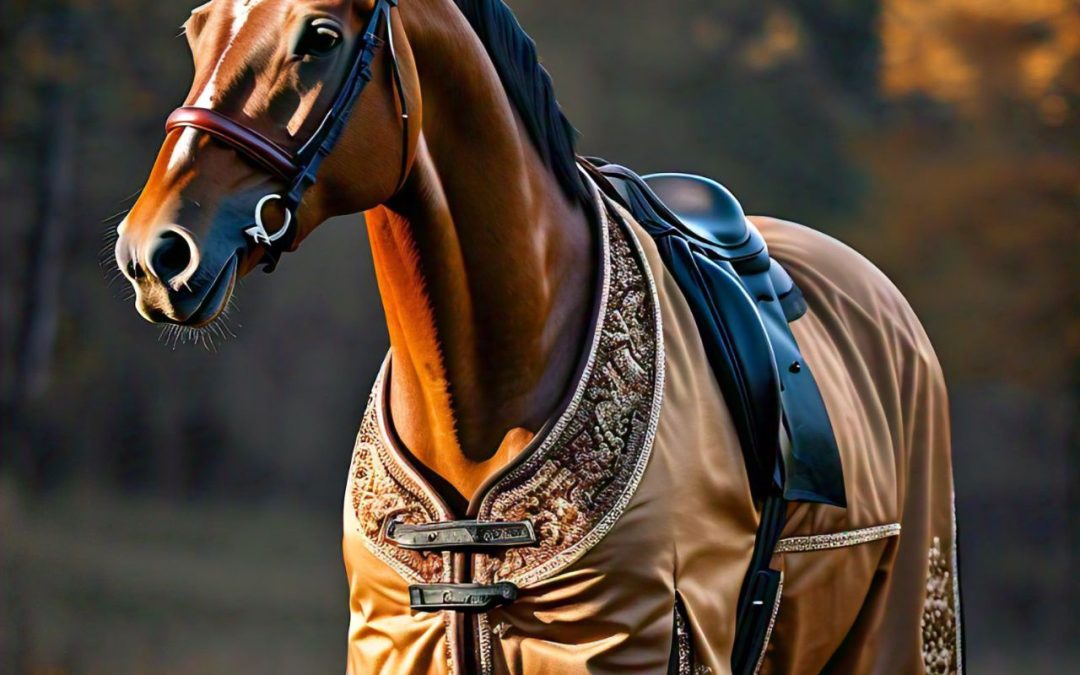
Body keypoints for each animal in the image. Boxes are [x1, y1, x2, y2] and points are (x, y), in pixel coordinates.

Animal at [113, 1, 963, 673]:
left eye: (319, 35)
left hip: (899, 615)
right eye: (197, 28)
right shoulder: (396, 640)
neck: (481, 395)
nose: (155, 252)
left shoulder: (629, 641)